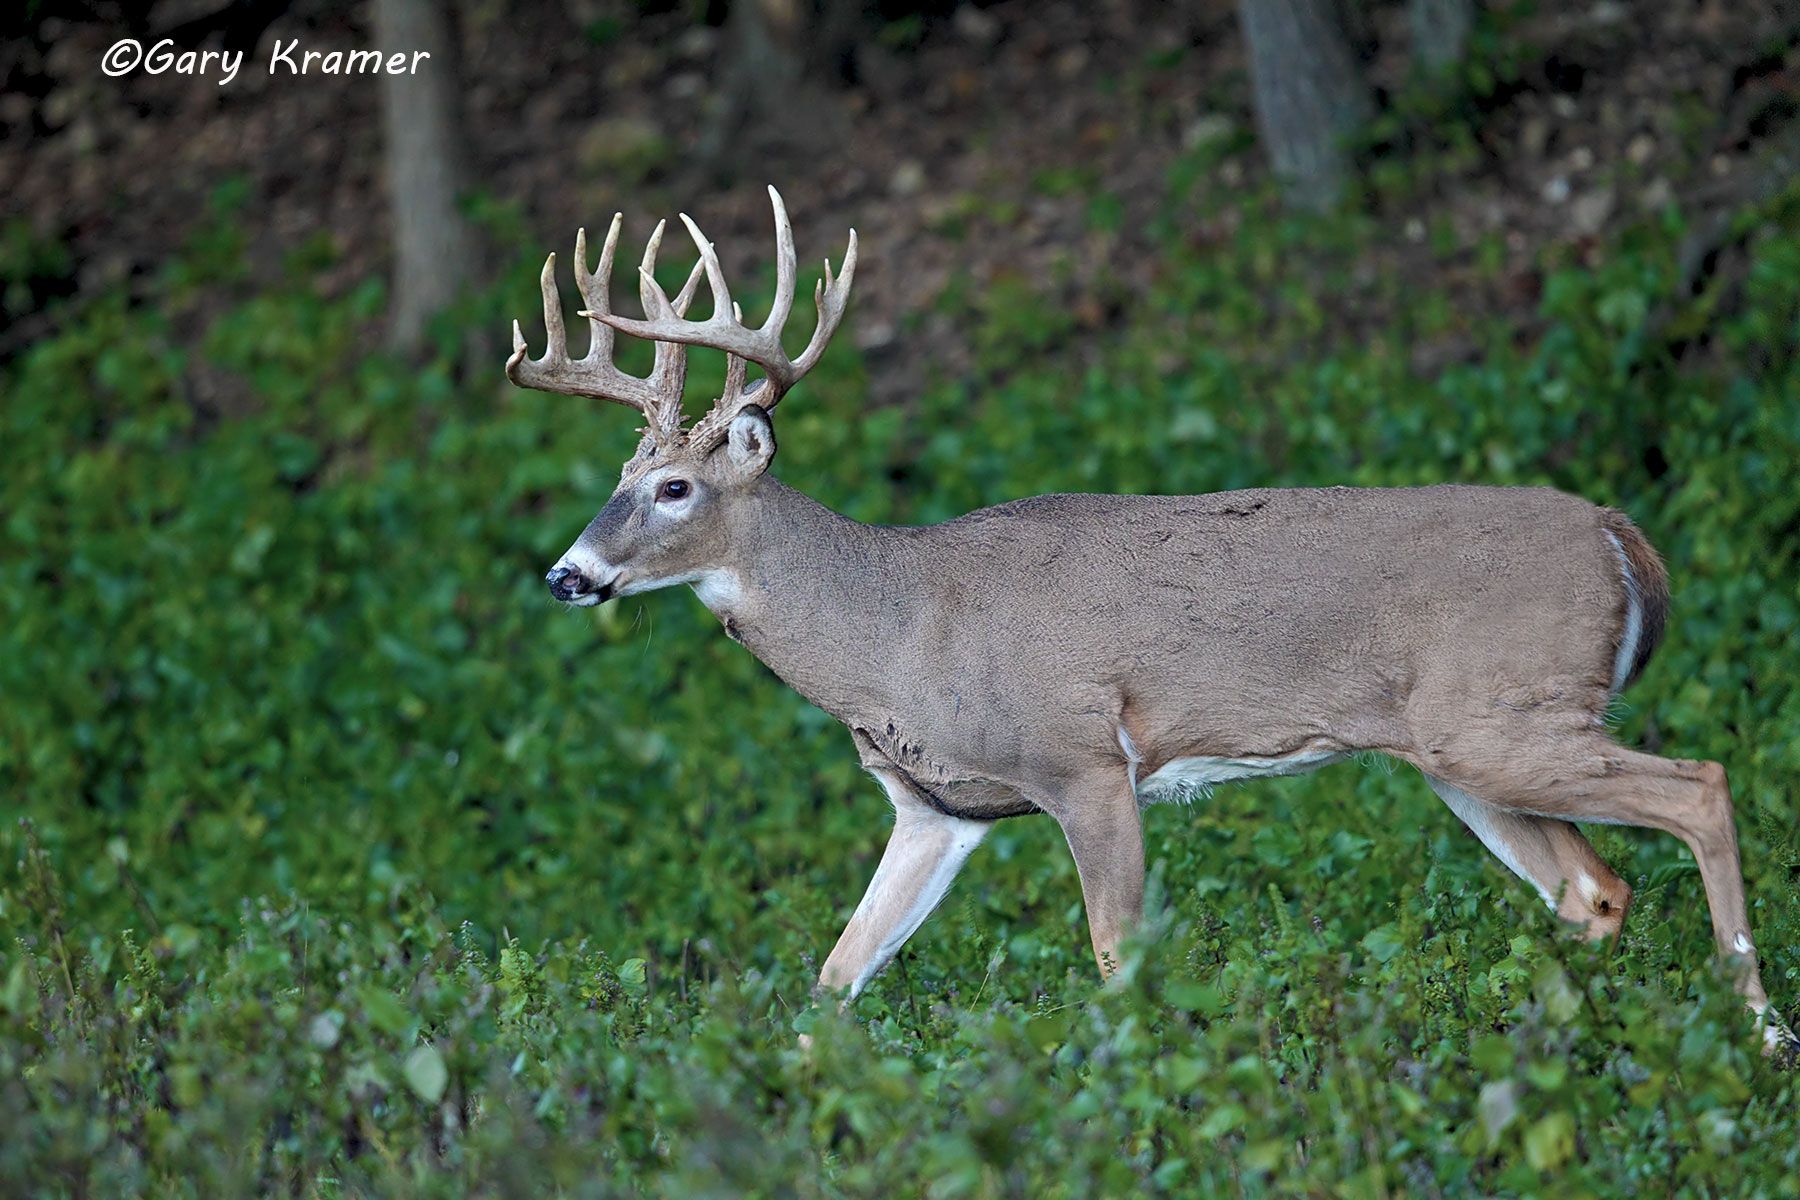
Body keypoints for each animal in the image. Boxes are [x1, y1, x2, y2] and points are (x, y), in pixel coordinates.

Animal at [509, 187, 1787, 1051]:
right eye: (620, 474)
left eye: (677, 488)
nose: (566, 575)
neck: (898, 630)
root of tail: (1623, 536)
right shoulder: (935, 808)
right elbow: (833, 977)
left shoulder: (1082, 759)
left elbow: (1117, 962)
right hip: (1460, 748)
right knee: (1596, 890)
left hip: (1510, 716)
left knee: (1703, 785)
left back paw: (1759, 1030)